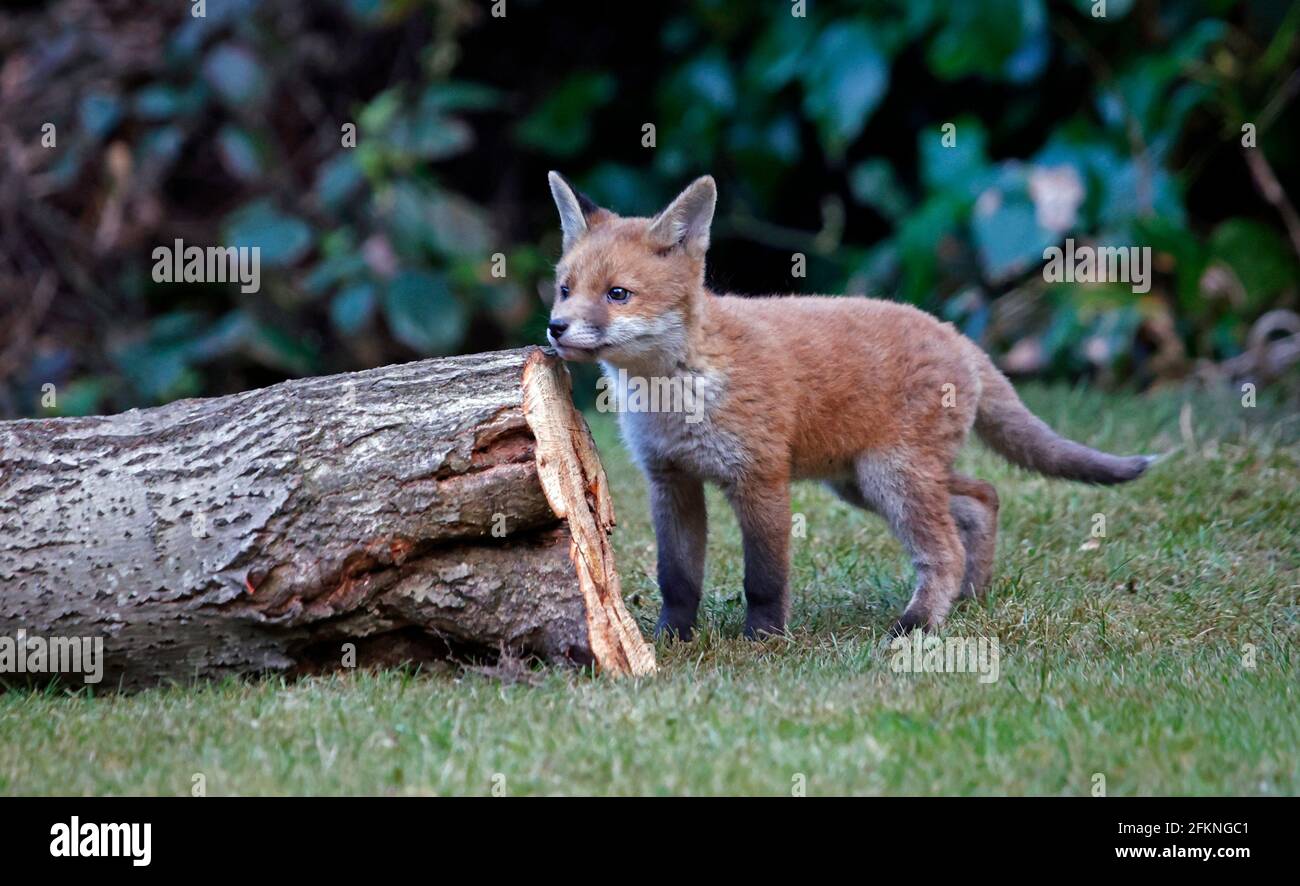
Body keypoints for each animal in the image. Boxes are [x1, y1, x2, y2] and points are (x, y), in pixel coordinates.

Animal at [544, 171, 1156, 639]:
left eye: (618, 294)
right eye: (565, 289)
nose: (555, 328)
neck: (675, 394)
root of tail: (957, 333)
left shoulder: (760, 479)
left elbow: (764, 578)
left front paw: (763, 641)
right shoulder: (671, 481)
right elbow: (677, 579)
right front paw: (670, 640)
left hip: (892, 476)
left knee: (946, 548)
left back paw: (920, 621)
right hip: (863, 482)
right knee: (983, 497)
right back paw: (972, 598)